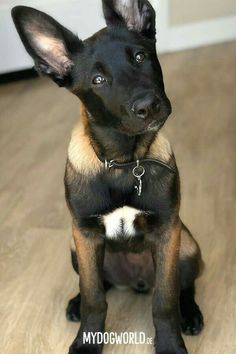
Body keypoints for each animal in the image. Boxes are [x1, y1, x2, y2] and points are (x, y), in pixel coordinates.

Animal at [12, 1, 205, 352]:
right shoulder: (86, 234)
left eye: (140, 57)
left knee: (185, 285)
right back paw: (75, 303)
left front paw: (170, 344)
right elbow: (94, 297)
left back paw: (191, 313)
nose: (148, 106)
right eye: (98, 79)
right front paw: (87, 341)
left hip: (186, 245)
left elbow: (165, 299)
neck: (125, 163)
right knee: (98, 284)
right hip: (76, 248)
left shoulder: (167, 232)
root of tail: (135, 280)